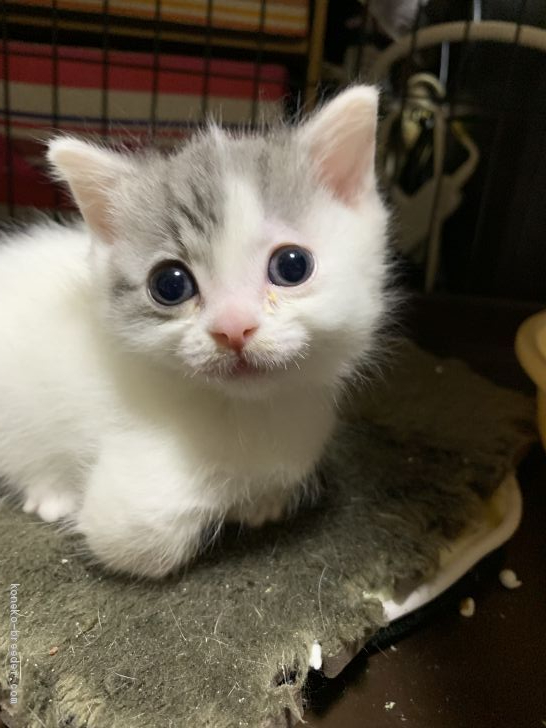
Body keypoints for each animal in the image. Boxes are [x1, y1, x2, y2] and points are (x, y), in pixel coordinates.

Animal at [0, 85, 388, 576]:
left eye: (292, 265)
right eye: (169, 284)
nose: (233, 327)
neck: (245, 414)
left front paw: (259, 504)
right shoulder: (131, 505)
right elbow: (143, 538)